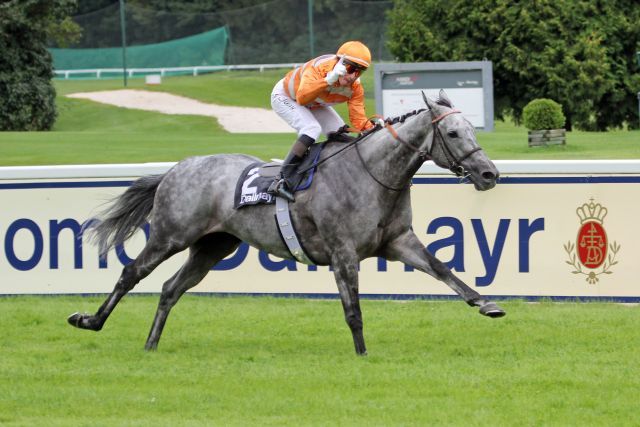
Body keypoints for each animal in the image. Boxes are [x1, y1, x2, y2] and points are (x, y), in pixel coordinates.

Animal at [66, 89, 504, 354]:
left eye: (470, 128)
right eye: (453, 133)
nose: (489, 174)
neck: (373, 174)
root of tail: (177, 168)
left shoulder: (397, 241)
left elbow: (443, 270)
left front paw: (487, 304)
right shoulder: (343, 253)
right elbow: (353, 310)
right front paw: (362, 355)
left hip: (213, 246)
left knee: (171, 288)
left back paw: (151, 344)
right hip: (171, 235)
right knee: (131, 273)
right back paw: (90, 320)